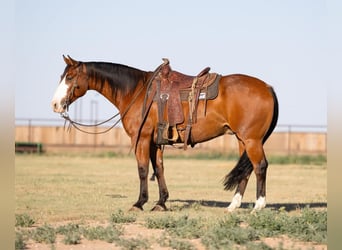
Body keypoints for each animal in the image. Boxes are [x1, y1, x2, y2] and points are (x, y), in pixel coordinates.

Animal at [52, 55, 280, 212]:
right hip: (243, 140)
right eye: (62, 76)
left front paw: (139, 203)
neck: (136, 91)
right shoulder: (155, 142)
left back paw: (258, 206)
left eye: (70, 77)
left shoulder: (142, 139)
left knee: (260, 166)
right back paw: (233, 206)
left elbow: (143, 169)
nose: (55, 104)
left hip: (252, 140)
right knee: (246, 170)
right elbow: (159, 169)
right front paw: (161, 202)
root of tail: (268, 87)